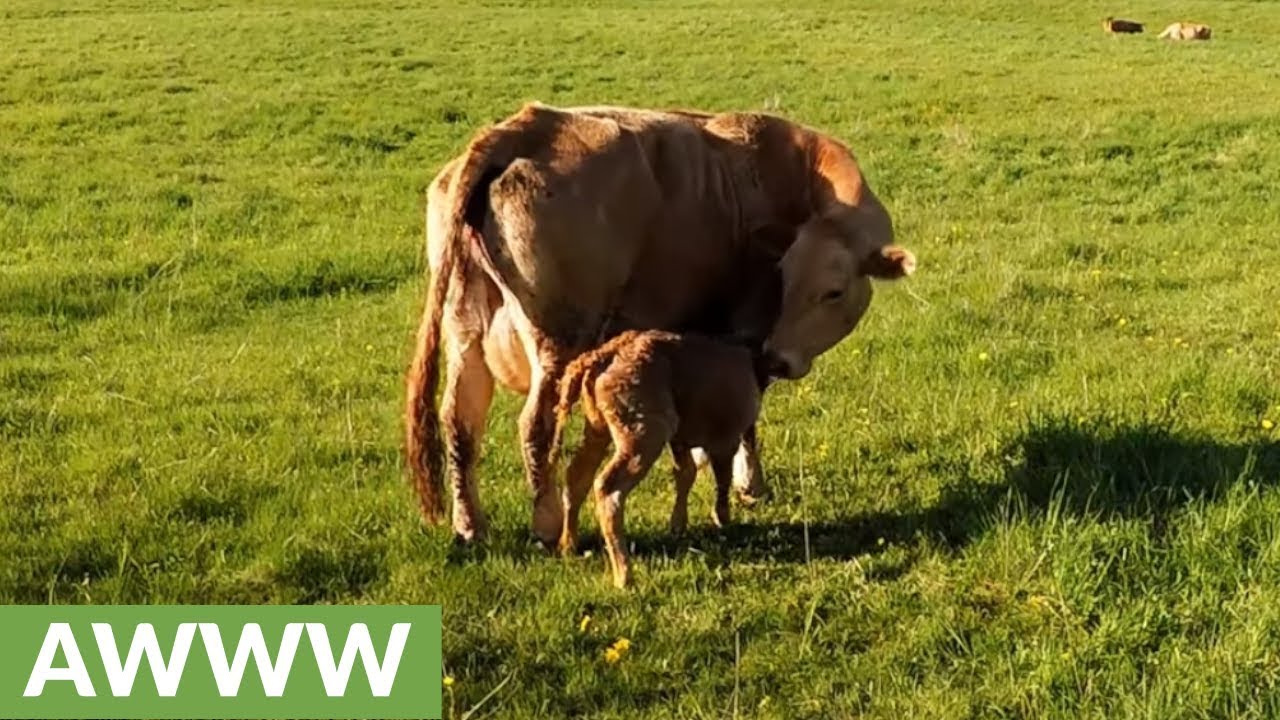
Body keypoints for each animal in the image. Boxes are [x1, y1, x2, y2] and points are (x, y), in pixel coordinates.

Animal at [404, 102, 917, 547]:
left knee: (459, 422)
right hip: (557, 341)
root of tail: (518, 132)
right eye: (786, 279)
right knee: (536, 427)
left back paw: (470, 524)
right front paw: (750, 483)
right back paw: (546, 522)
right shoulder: (748, 335)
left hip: (465, 334)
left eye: (831, 291)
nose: (778, 357)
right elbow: (749, 415)